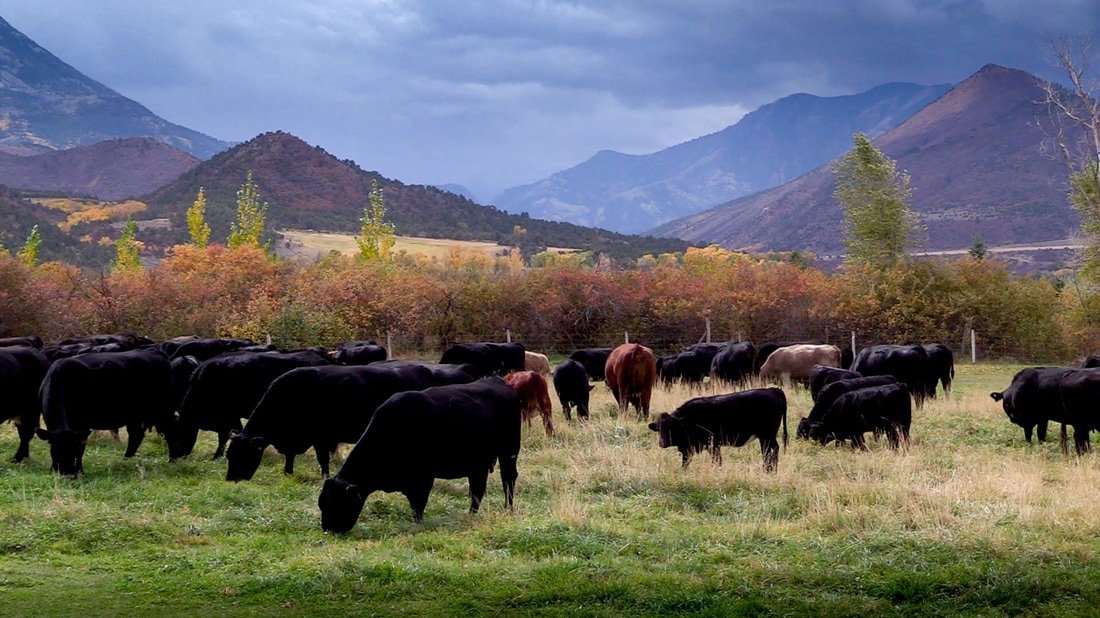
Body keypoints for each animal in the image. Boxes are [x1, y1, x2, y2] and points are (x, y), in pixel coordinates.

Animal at [36, 349, 176, 476]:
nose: (67, 473)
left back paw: (172, 460)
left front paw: (80, 471)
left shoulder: (82, 424)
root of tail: (156, 352)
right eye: (56, 451)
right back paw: (125, 460)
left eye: (73, 452)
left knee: (169, 432)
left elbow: (82, 448)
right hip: (134, 416)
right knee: (136, 436)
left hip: (164, 409)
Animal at [225, 362, 466, 481]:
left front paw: (323, 477)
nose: (230, 479)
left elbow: (322, 460)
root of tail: (421, 368)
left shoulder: (321, 438)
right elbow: (290, 457)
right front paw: (288, 473)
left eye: (243, 454)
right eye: (229, 454)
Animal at [318, 377, 521, 530]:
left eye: (338, 503)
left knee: (508, 479)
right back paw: (471, 514)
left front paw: (418, 523)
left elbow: (418, 503)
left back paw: (508, 509)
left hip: (509, 452)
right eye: (321, 503)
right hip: (477, 463)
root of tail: (497, 381)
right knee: (477, 488)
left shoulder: (423, 477)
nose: (328, 529)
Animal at [648, 387, 787, 472]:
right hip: (765, 436)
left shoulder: (713, 444)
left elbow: (716, 461)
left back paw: (769, 471)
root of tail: (773, 389)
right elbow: (685, 461)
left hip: (767, 435)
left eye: (672, 428)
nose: (662, 442)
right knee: (768, 451)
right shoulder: (688, 447)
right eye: (659, 429)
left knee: (771, 451)